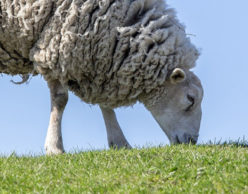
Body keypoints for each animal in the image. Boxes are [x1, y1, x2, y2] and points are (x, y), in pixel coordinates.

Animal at [0, 0, 203, 155]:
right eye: (191, 99)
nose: (191, 141)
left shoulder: (100, 61)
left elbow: (105, 105)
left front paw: (119, 142)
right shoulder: (54, 47)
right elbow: (60, 100)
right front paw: (55, 147)